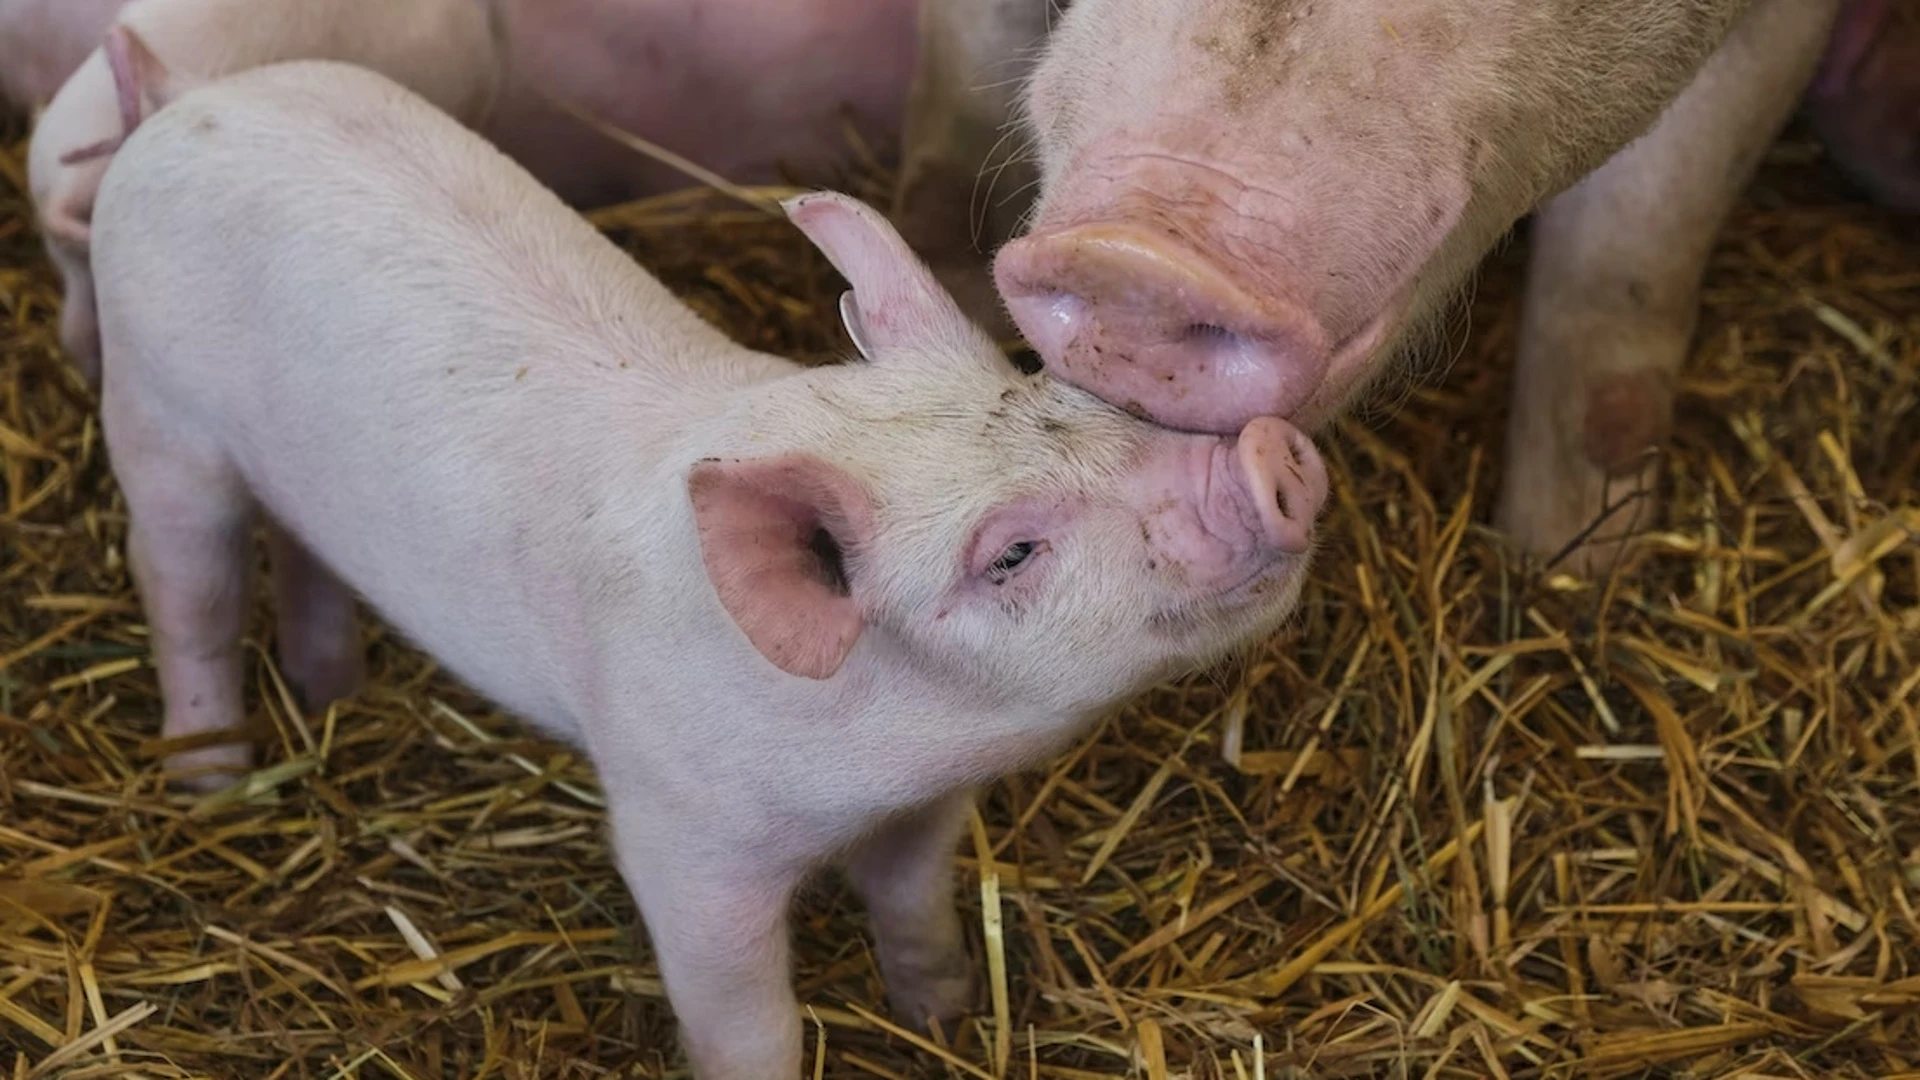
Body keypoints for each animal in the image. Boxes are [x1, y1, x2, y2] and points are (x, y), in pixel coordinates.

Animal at [86, 61, 1320, 1076]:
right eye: (1011, 552)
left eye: (1063, 392)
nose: (1269, 456)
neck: (881, 753)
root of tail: (189, 102)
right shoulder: (679, 834)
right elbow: (748, 1020)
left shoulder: (924, 810)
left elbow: (916, 905)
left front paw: (945, 1015)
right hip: (155, 410)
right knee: (187, 592)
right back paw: (212, 782)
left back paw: (331, 689)